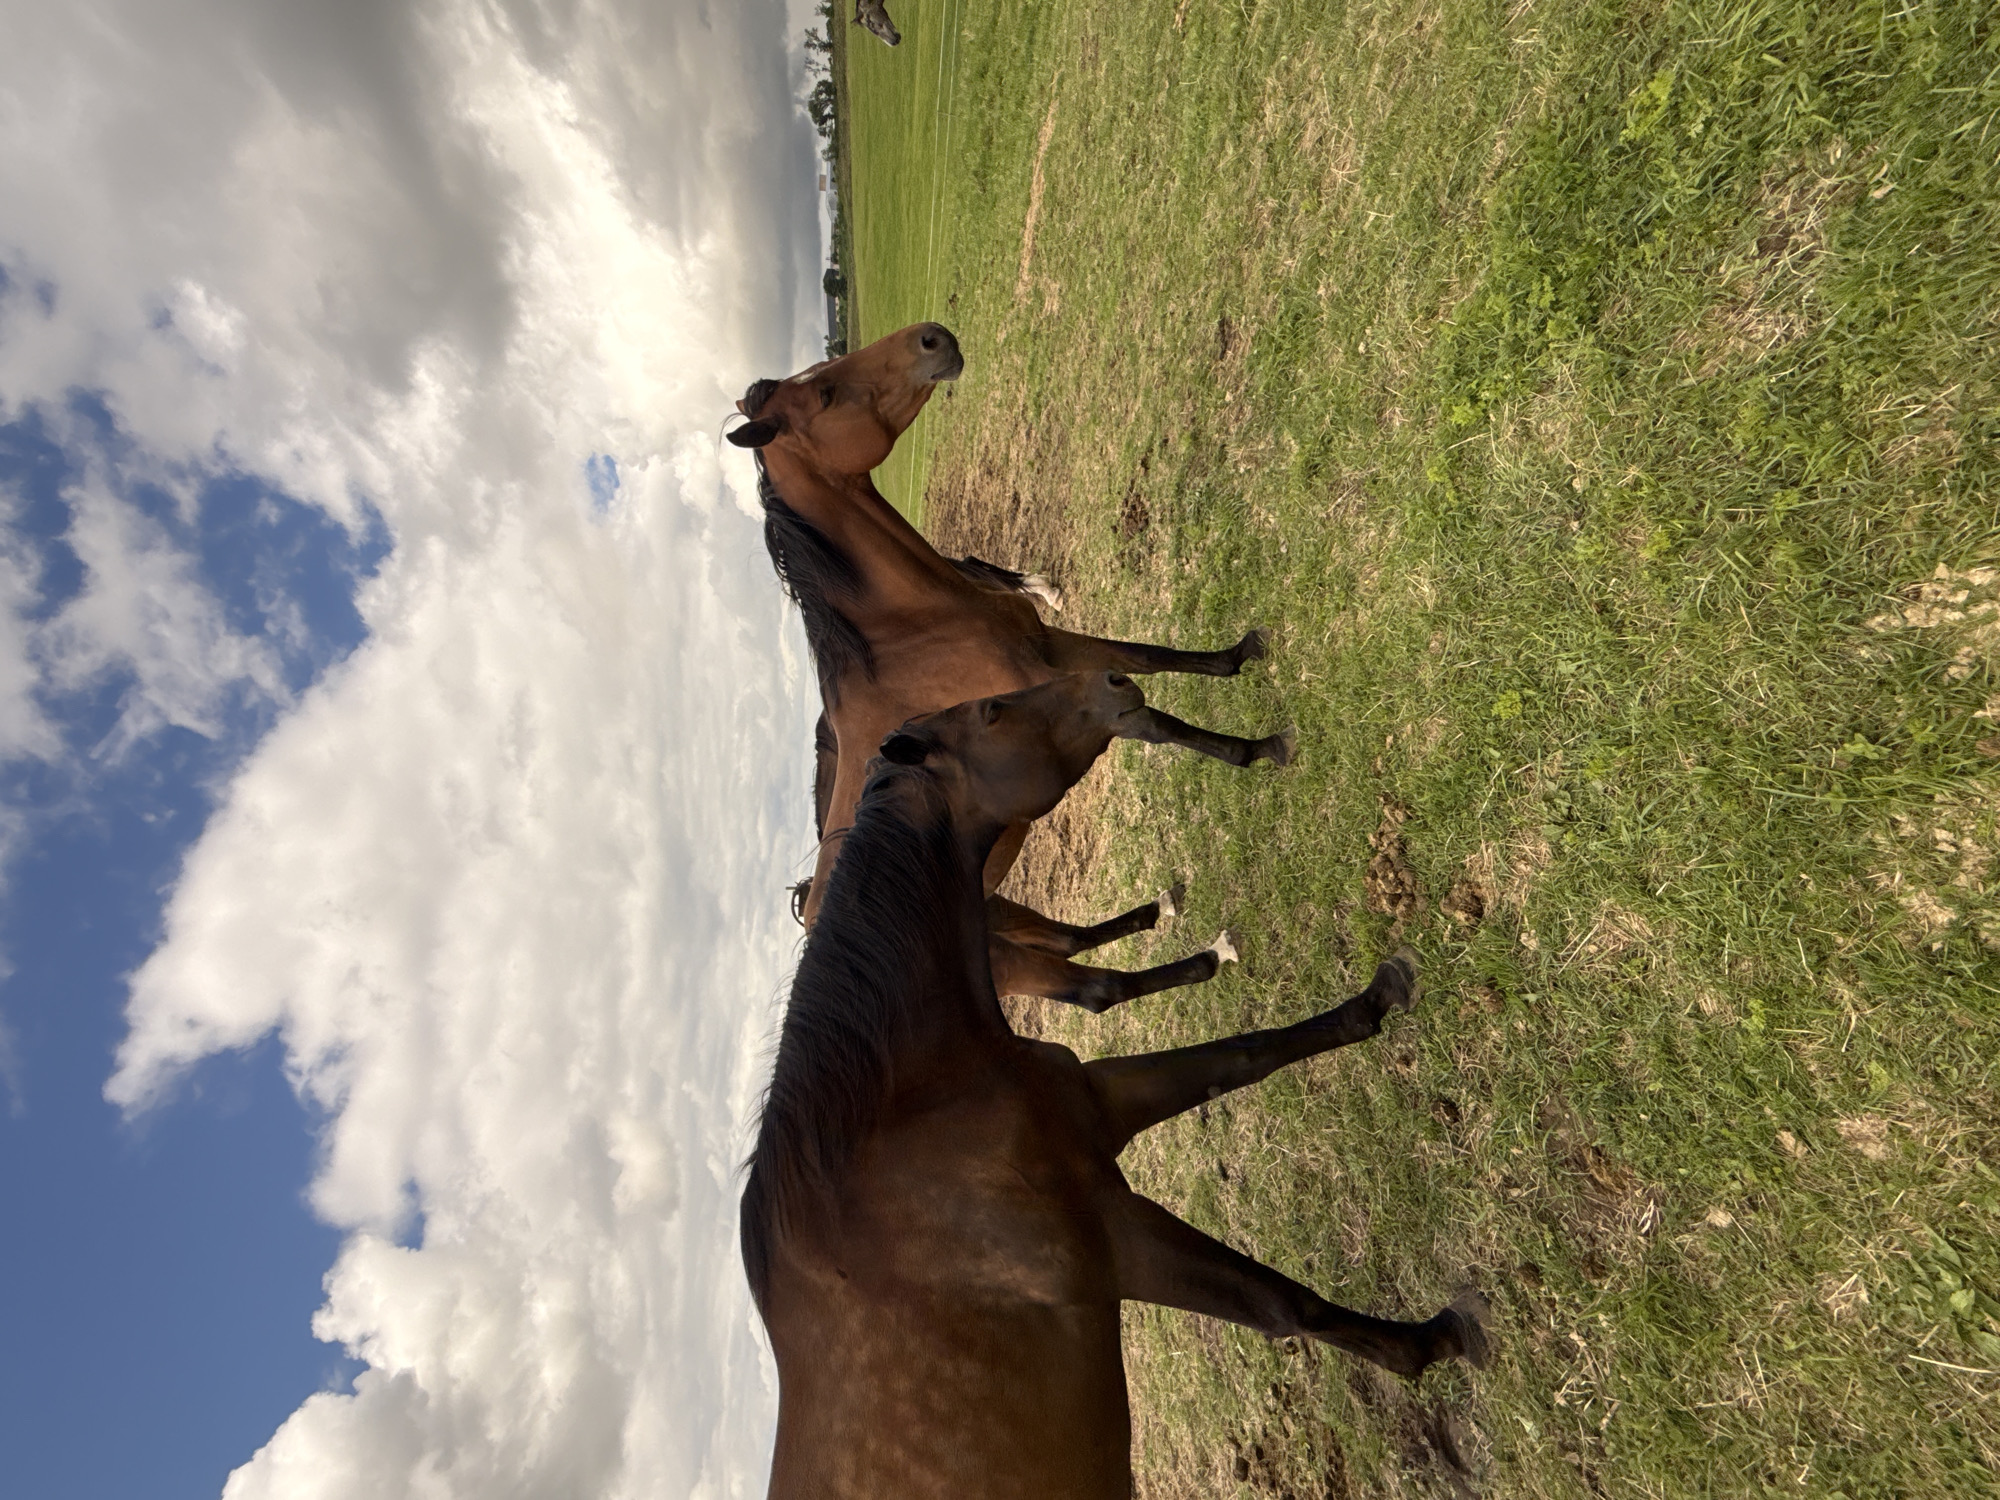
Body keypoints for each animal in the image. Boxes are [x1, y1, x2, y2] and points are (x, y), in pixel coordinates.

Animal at [728, 321, 1291, 936]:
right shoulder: (1064, 696)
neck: (918, 632)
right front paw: (1261, 749)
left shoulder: (1055, 649)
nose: (931, 337)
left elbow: (1147, 655)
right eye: (825, 394)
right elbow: (1155, 723)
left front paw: (1240, 653)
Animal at [742, 672, 1490, 1500]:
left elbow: (1246, 1056)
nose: (1113, 680)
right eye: (994, 711)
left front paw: (1378, 997)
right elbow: (1281, 1304)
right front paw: (1433, 1340)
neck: (899, 1119)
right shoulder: (1112, 1238)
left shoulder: (1097, 1108)